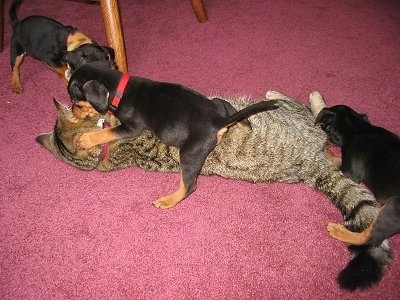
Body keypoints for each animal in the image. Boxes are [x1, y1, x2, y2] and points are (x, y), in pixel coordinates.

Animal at [37, 91, 390, 290]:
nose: (77, 102)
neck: (108, 155)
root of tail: (309, 164)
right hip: (298, 121)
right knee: (310, 114)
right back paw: (307, 100)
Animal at [68, 63, 278, 209]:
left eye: (76, 100)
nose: (73, 111)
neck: (119, 89)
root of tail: (218, 120)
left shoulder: (132, 128)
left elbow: (107, 132)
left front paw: (86, 139)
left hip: (189, 153)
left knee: (189, 185)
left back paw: (168, 200)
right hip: (221, 104)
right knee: (241, 117)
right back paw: (246, 126)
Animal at [316, 105, 400, 246]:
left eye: (323, 127)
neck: (358, 129)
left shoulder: (350, 172)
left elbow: (336, 160)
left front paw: (325, 150)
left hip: (392, 208)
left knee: (368, 238)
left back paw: (337, 230)